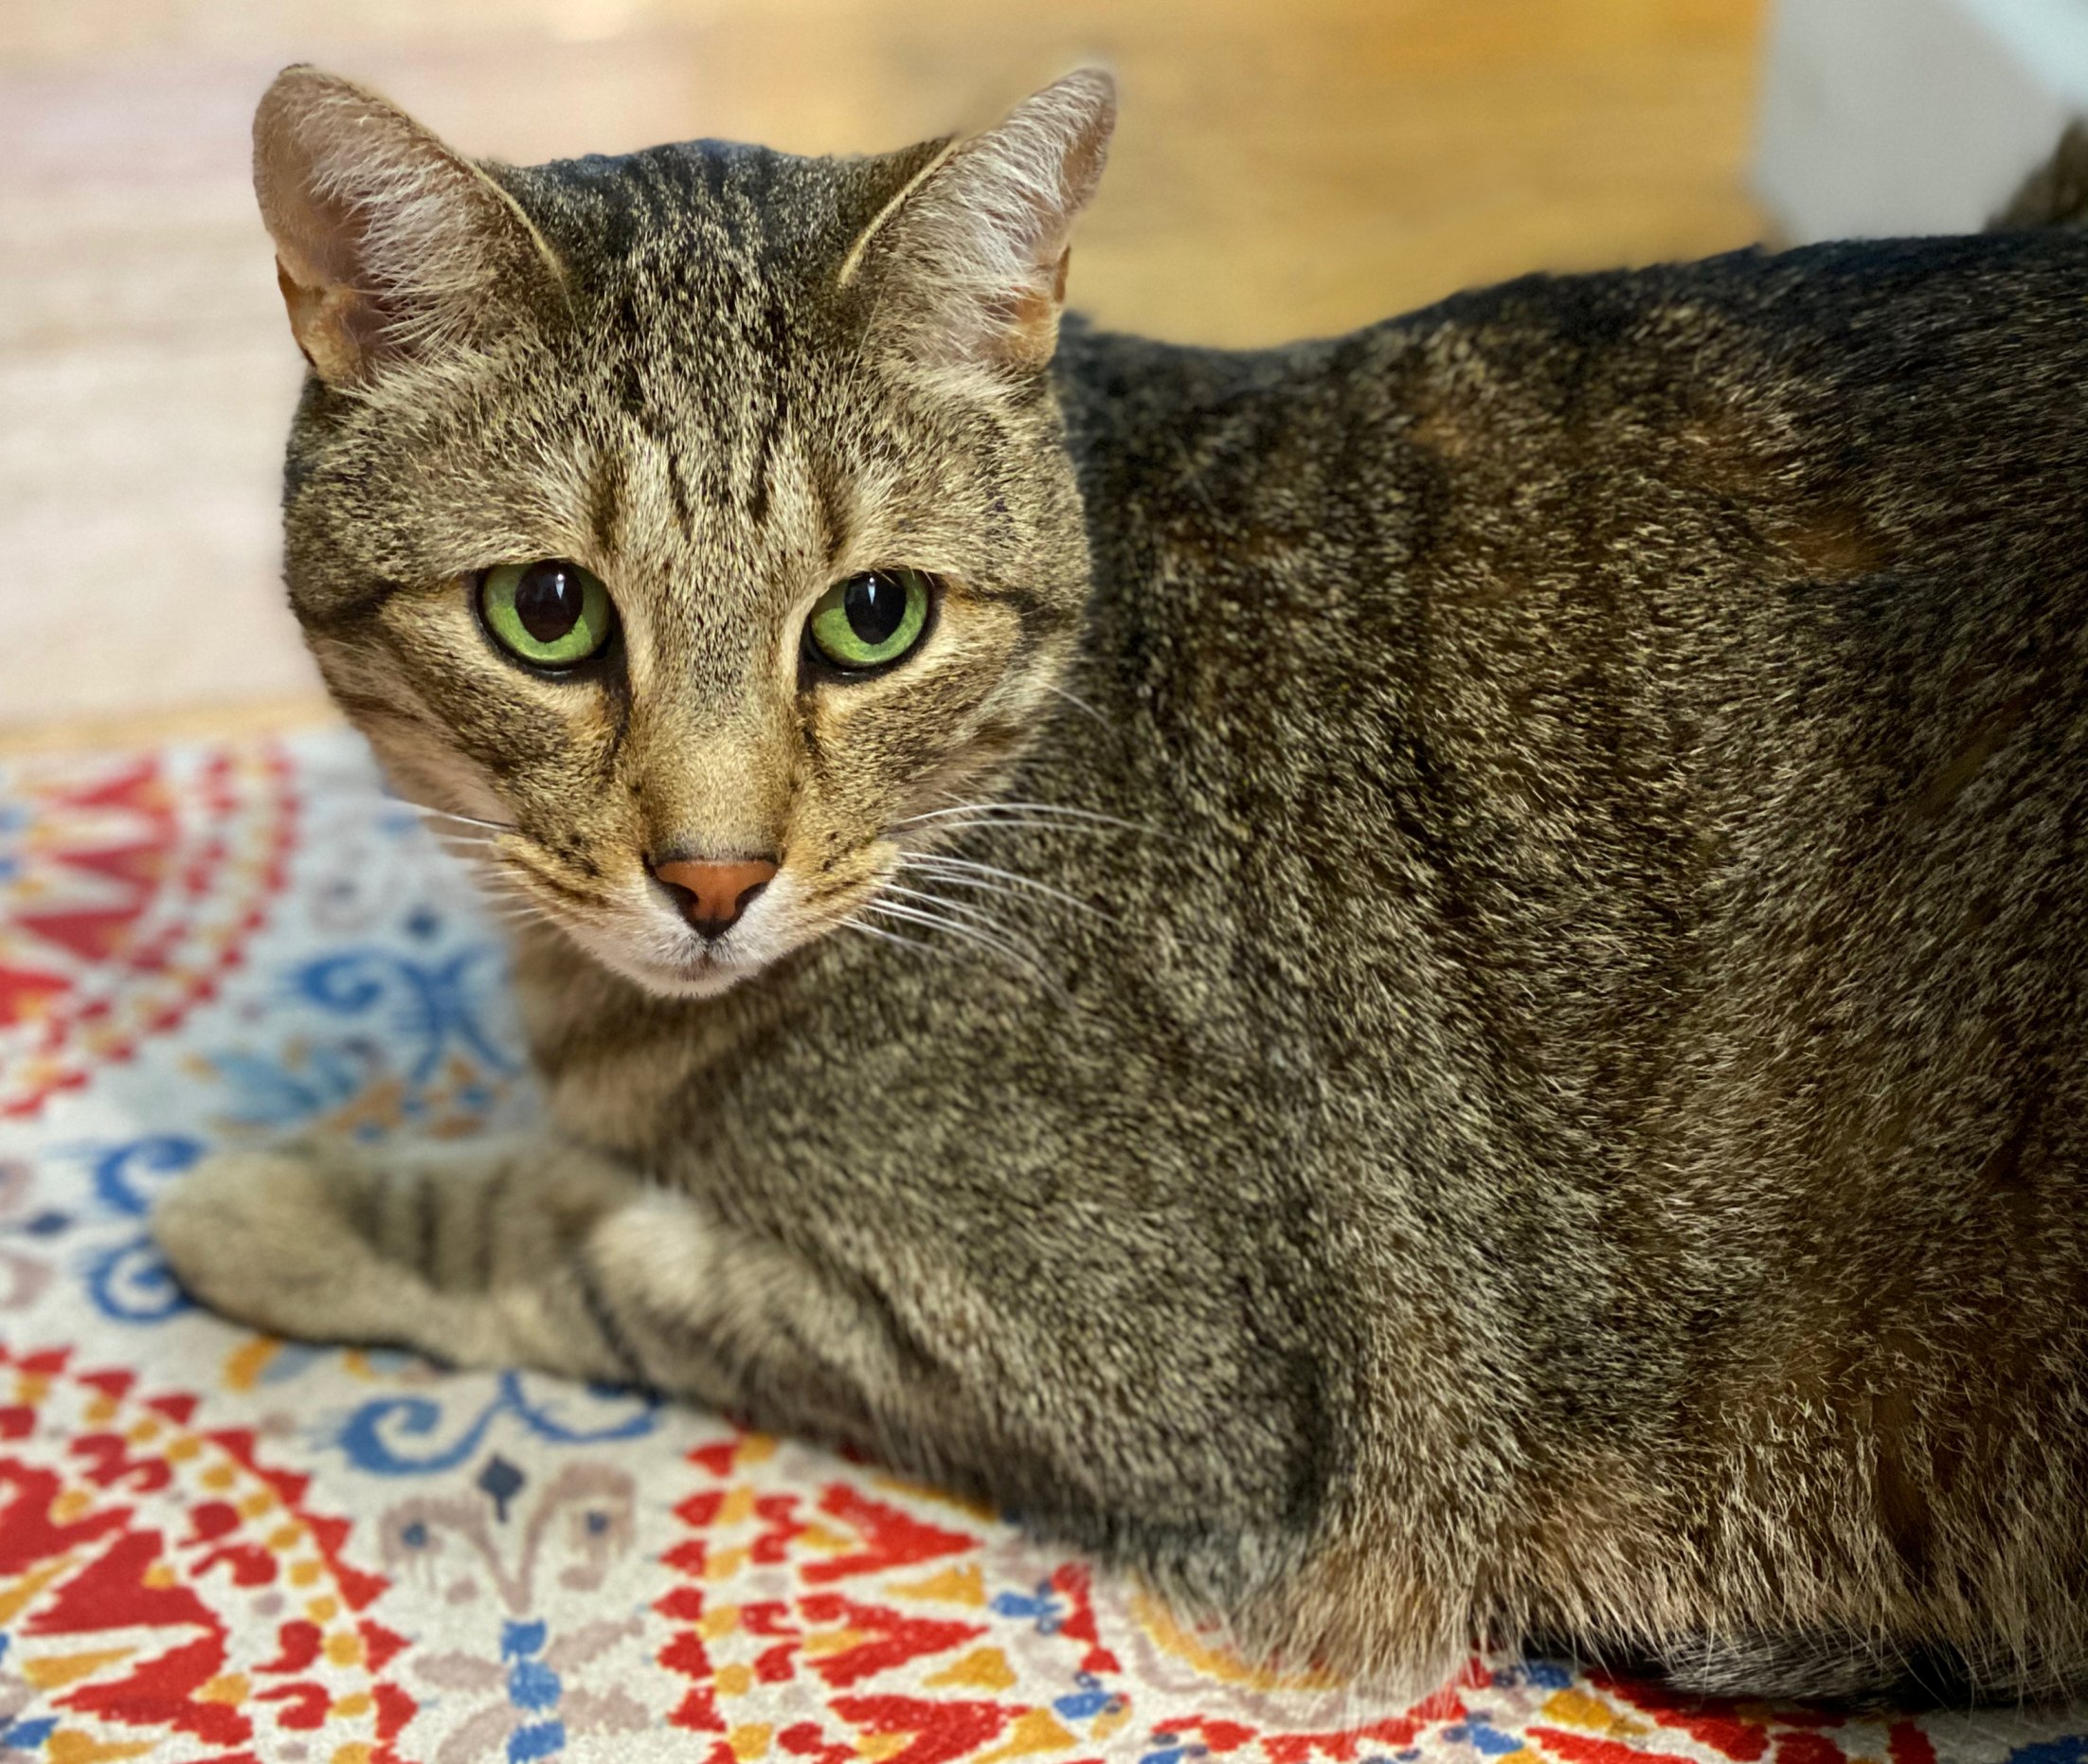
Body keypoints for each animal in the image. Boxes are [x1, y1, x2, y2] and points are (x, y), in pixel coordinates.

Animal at [151, 62, 2088, 1703]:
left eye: (873, 619)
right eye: (545, 613)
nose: (712, 876)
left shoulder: (1145, 1373)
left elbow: (576, 1234)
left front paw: (274, 1202)